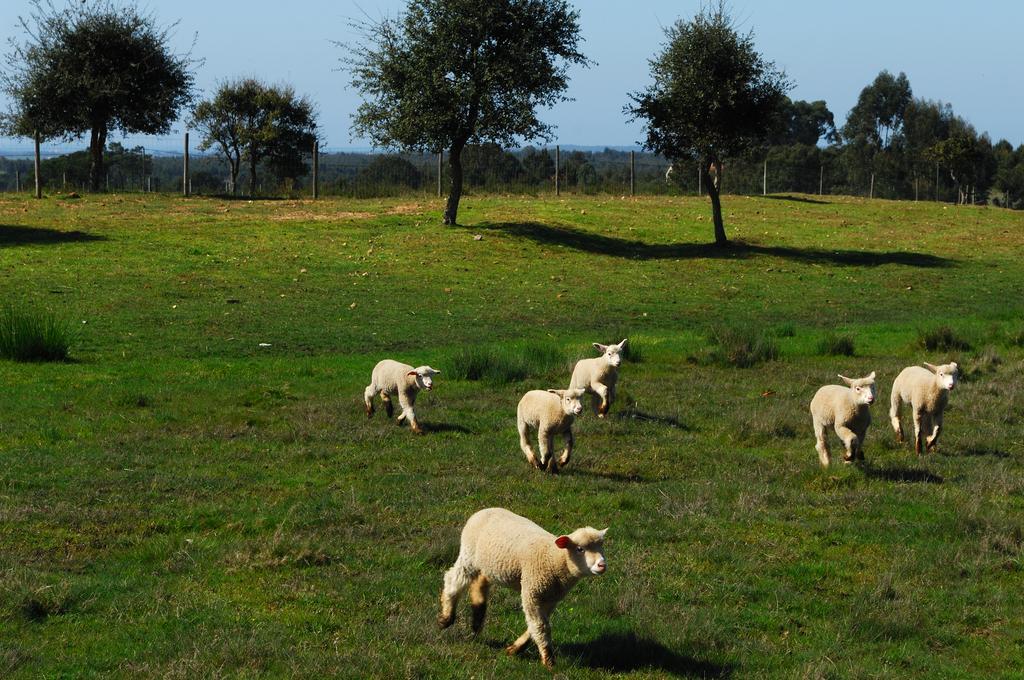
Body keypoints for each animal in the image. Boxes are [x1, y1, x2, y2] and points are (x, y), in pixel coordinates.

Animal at [434, 503, 606, 667]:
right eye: (580, 549)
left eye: (601, 547)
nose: (602, 565)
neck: (554, 558)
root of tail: (483, 511)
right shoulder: (532, 592)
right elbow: (540, 626)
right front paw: (549, 661)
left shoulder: (550, 599)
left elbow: (535, 626)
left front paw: (515, 649)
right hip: (468, 555)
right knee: (453, 580)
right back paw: (446, 618)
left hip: (488, 563)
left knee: (480, 581)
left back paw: (477, 619)